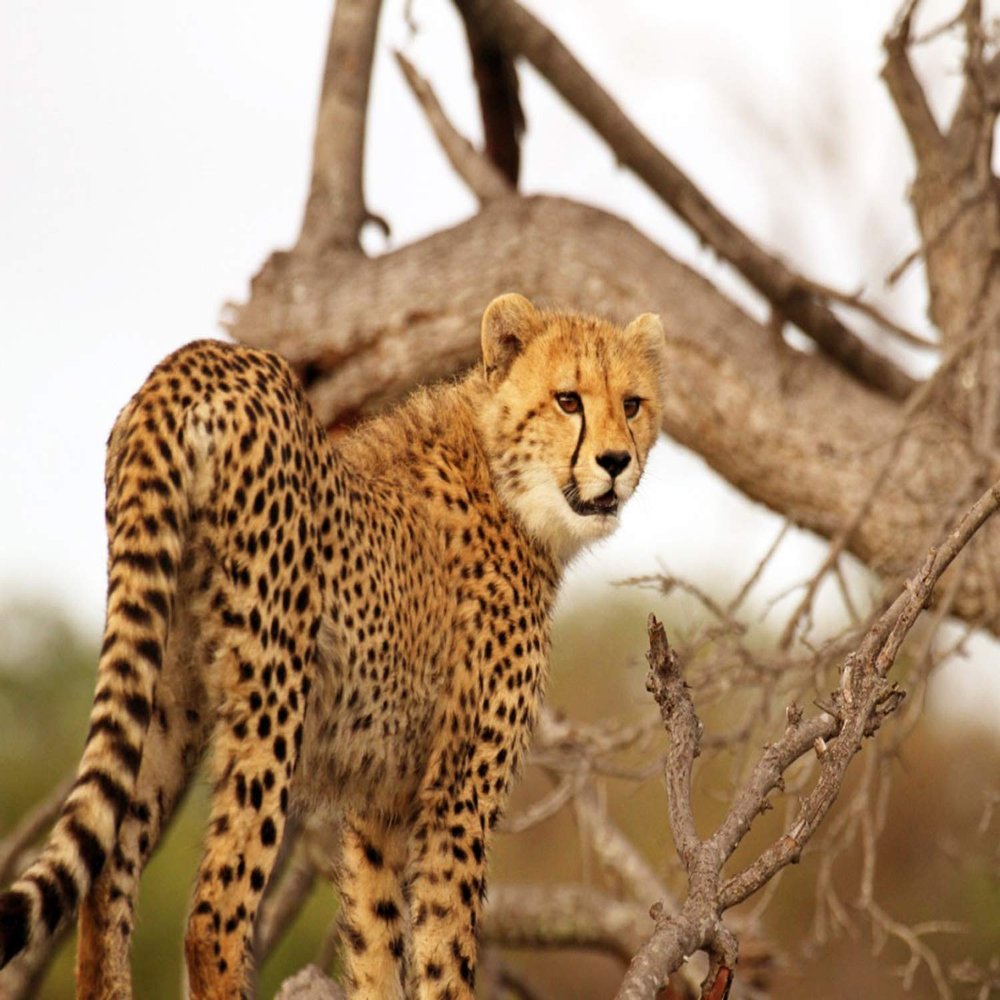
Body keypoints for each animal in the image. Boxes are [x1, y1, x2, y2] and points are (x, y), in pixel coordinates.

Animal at [0, 292, 665, 999]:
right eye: (568, 400)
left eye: (631, 404)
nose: (616, 462)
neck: (503, 477)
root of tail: (201, 360)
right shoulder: (457, 798)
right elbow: (445, 955)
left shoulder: (384, 800)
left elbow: (378, 943)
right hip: (273, 694)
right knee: (213, 911)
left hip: (164, 691)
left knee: (106, 882)